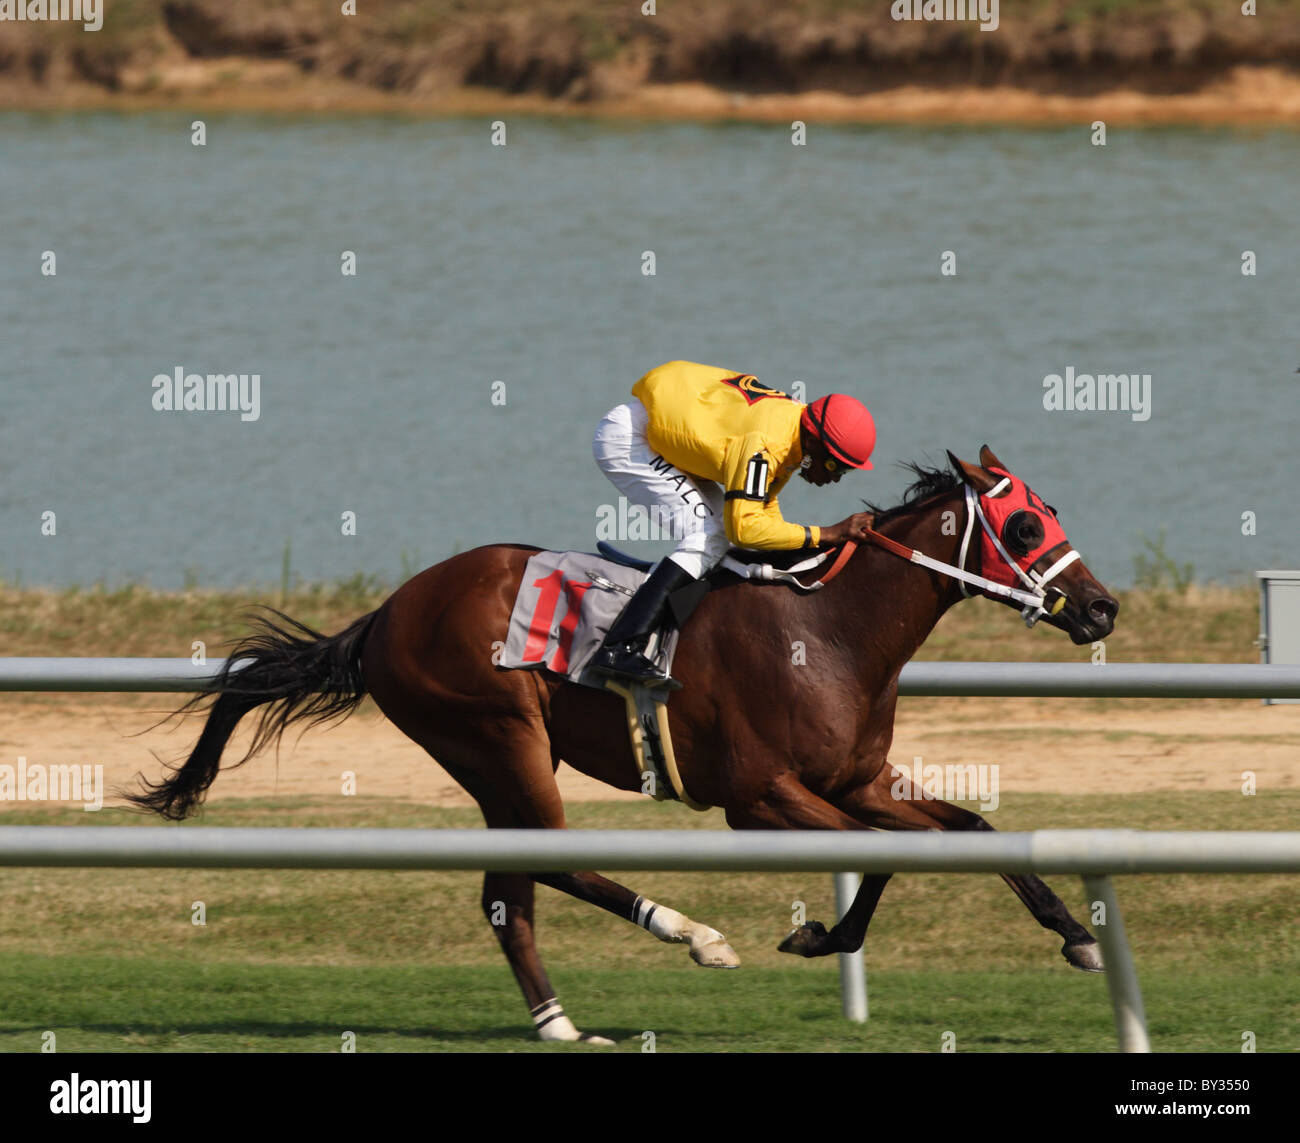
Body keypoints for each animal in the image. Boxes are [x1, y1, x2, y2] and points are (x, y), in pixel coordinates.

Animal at [129, 444, 1118, 1045]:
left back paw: (559, 1022)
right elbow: (888, 854)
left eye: (1050, 511)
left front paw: (1077, 935)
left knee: (508, 894)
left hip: (493, 763)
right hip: (501, 735)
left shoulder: (859, 780)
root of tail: (386, 614)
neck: (831, 629)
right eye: (1023, 526)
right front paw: (814, 934)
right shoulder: (761, 799)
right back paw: (692, 934)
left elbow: (968, 832)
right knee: (556, 859)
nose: (1103, 607)